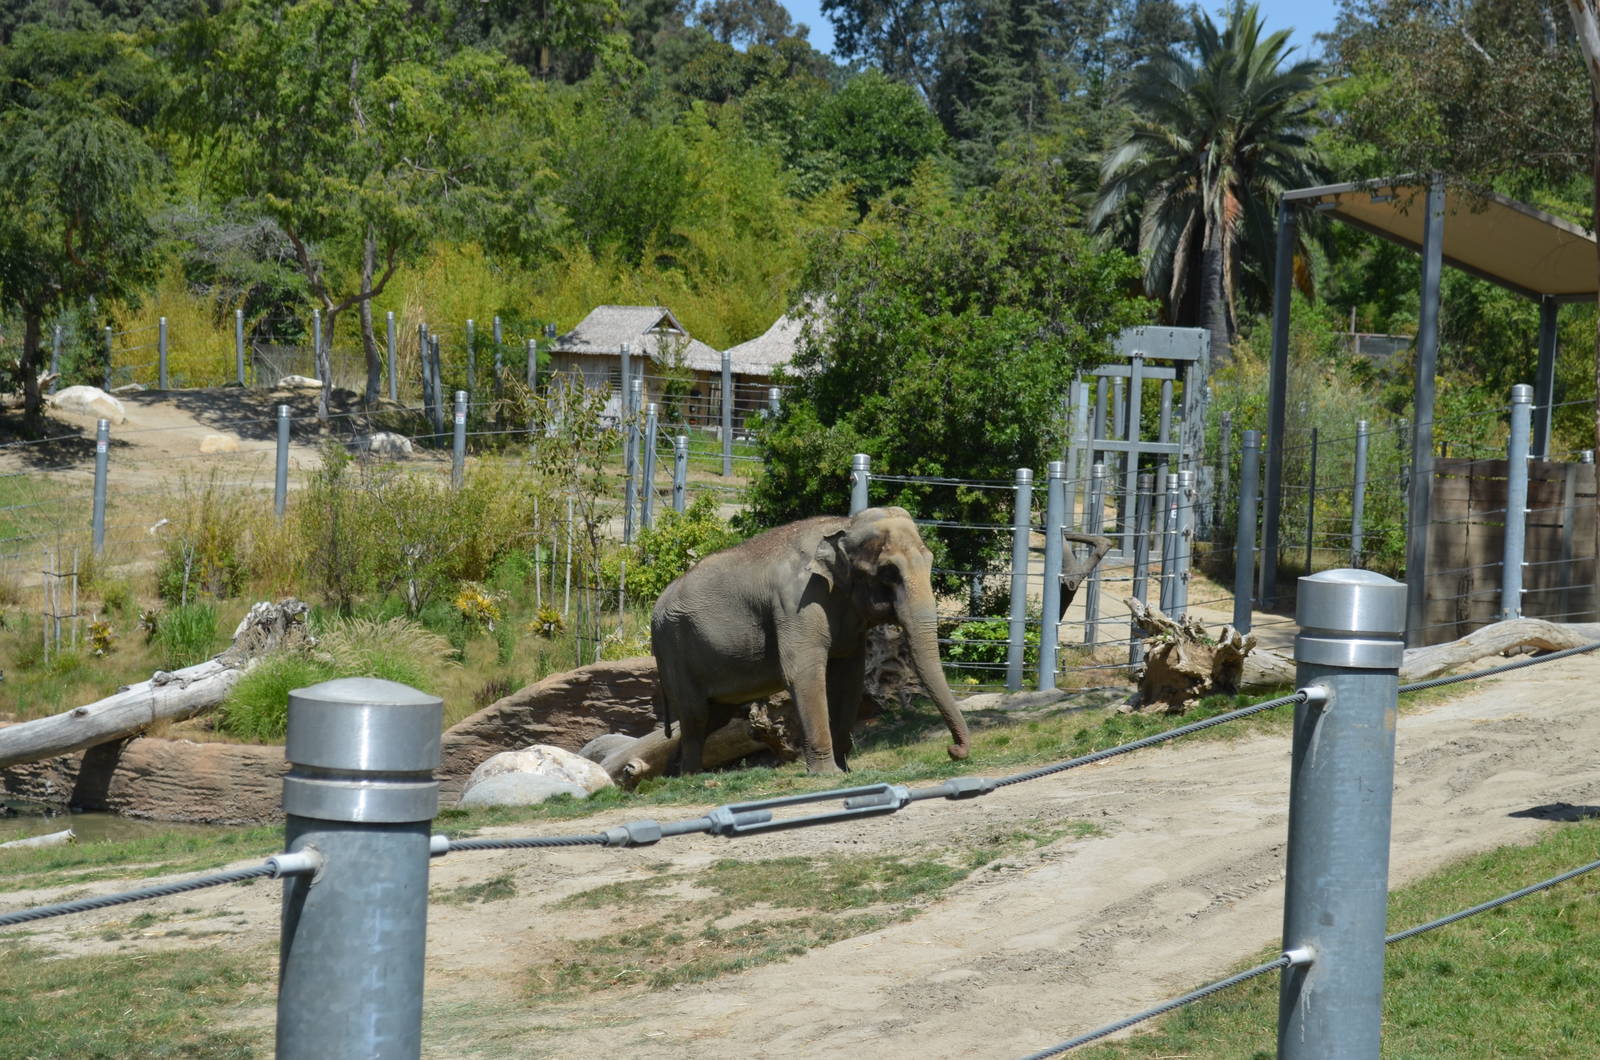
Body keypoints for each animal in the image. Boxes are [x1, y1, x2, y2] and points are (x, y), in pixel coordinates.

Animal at [650, 506, 971, 775]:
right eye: (889, 573)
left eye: (930, 561)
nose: (953, 750)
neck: (843, 526)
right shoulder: (796, 604)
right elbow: (804, 674)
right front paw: (828, 775)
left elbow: (849, 678)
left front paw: (845, 771)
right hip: (674, 651)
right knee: (695, 715)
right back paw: (692, 776)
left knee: (713, 716)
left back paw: (673, 775)